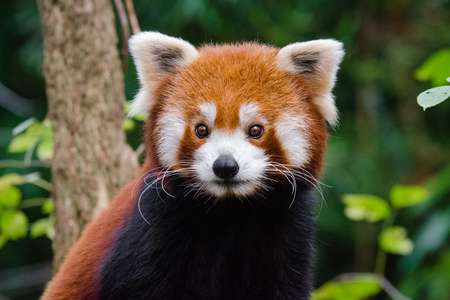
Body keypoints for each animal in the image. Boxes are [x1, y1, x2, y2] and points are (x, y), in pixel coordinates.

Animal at [43, 31, 344, 300]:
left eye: (256, 130)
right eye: (201, 129)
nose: (225, 166)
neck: (231, 213)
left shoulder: (287, 234)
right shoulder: (151, 229)